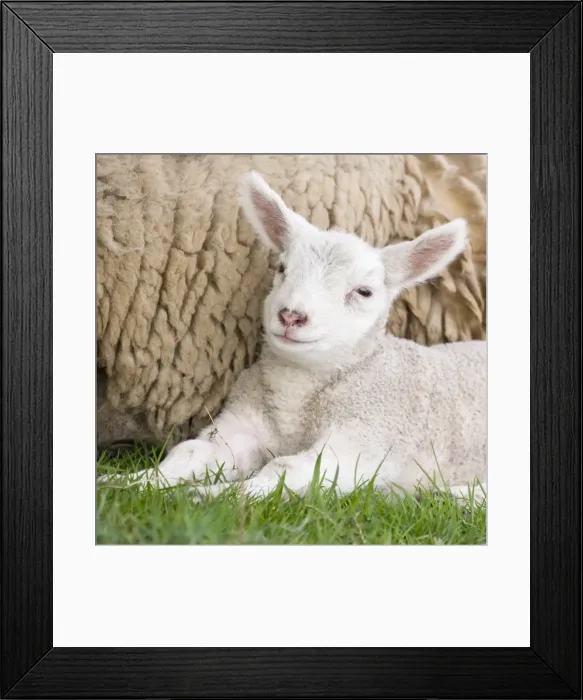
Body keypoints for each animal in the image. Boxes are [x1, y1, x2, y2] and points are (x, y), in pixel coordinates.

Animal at [126, 171, 487, 501]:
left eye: (364, 291)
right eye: (282, 268)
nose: (291, 316)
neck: (297, 395)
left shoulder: (363, 440)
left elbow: (284, 468)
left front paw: (211, 496)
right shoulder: (243, 425)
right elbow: (191, 451)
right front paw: (131, 484)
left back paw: (453, 496)